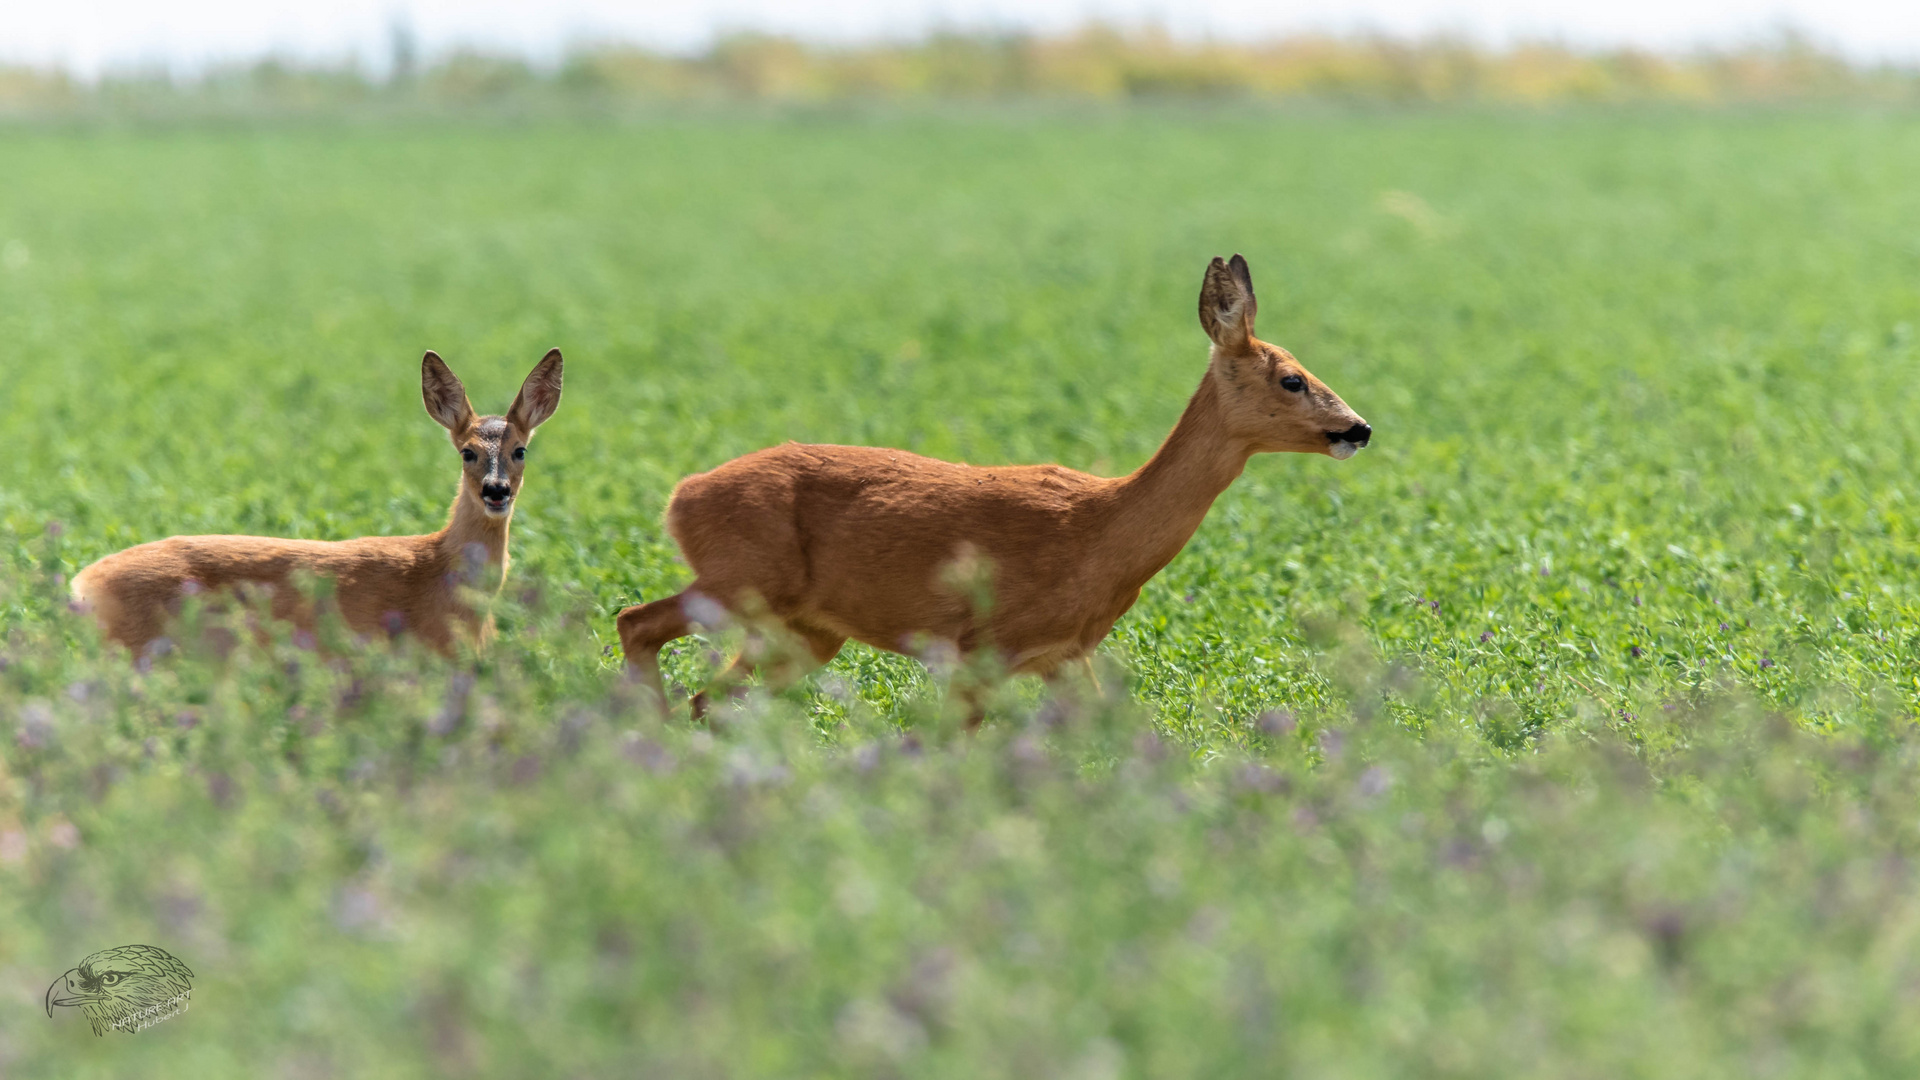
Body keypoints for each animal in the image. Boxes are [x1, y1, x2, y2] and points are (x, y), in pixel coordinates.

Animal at [614, 253, 1367, 714]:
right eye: (1291, 378)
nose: (1358, 428)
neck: (1101, 529)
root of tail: (680, 495)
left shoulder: (1063, 655)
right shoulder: (980, 647)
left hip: (805, 628)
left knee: (709, 697)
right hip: (742, 578)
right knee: (636, 621)